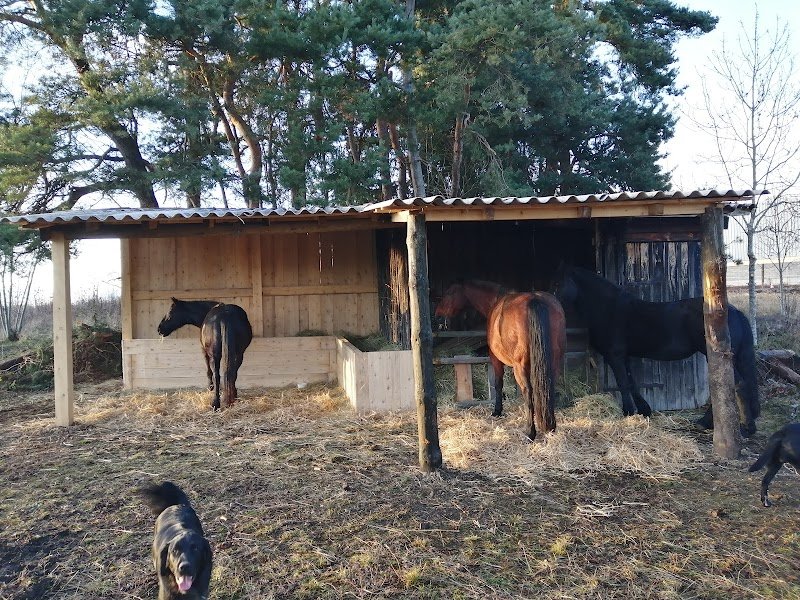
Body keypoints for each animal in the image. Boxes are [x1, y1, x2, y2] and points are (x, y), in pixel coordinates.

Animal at [435, 280, 566, 441]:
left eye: (449, 293)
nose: (437, 316)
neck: (495, 301)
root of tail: (534, 300)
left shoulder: (495, 359)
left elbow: (498, 384)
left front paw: (497, 411)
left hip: (520, 366)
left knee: (528, 391)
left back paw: (530, 432)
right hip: (554, 362)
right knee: (549, 387)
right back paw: (551, 427)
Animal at [552, 265, 759, 435]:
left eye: (558, 284)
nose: (552, 303)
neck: (609, 310)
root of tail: (734, 312)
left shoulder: (615, 356)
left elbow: (623, 383)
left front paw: (628, 412)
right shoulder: (624, 357)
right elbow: (631, 382)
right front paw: (644, 410)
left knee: (736, 384)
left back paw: (738, 426)